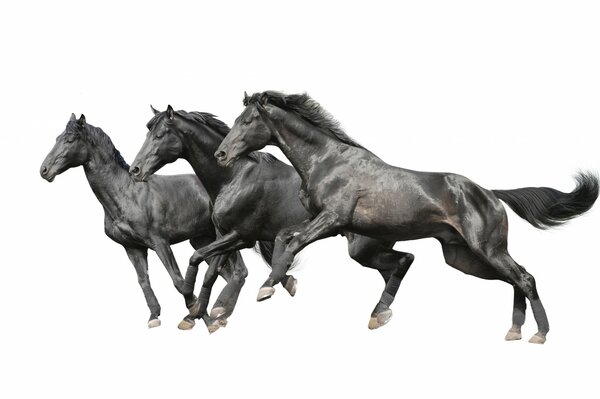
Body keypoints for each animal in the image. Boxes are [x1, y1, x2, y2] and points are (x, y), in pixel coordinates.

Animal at [129, 106, 414, 332]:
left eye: (159, 135)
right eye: (147, 133)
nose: (135, 170)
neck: (234, 177)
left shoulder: (240, 236)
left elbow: (199, 259)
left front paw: (204, 308)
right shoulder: (225, 236)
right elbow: (212, 270)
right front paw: (198, 313)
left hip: (363, 248)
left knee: (401, 263)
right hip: (368, 251)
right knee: (395, 267)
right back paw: (380, 313)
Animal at [217, 91, 600, 344]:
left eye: (248, 121)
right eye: (235, 121)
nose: (221, 154)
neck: (327, 160)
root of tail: (491, 194)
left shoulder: (333, 219)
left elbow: (293, 241)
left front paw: (266, 289)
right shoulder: (328, 224)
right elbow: (285, 238)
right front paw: (275, 284)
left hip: (487, 249)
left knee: (525, 277)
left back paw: (540, 334)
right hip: (464, 258)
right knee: (514, 279)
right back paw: (514, 330)